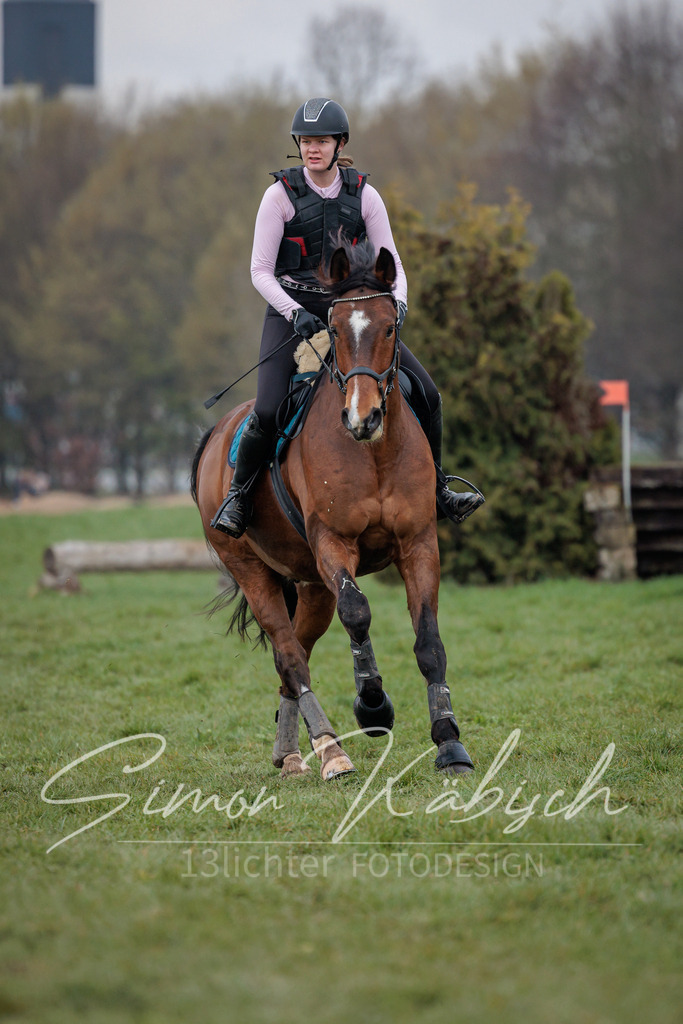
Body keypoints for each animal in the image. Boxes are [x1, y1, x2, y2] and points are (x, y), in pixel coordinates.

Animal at [191, 239, 474, 781]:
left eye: (389, 327)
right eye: (338, 330)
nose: (362, 418)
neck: (373, 452)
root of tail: (215, 436)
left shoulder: (418, 544)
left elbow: (429, 641)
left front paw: (449, 743)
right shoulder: (333, 544)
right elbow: (358, 613)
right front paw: (373, 707)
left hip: (309, 585)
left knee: (294, 655)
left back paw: (291, 754)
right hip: (252, 569)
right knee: (289, 655)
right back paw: (330, 749)